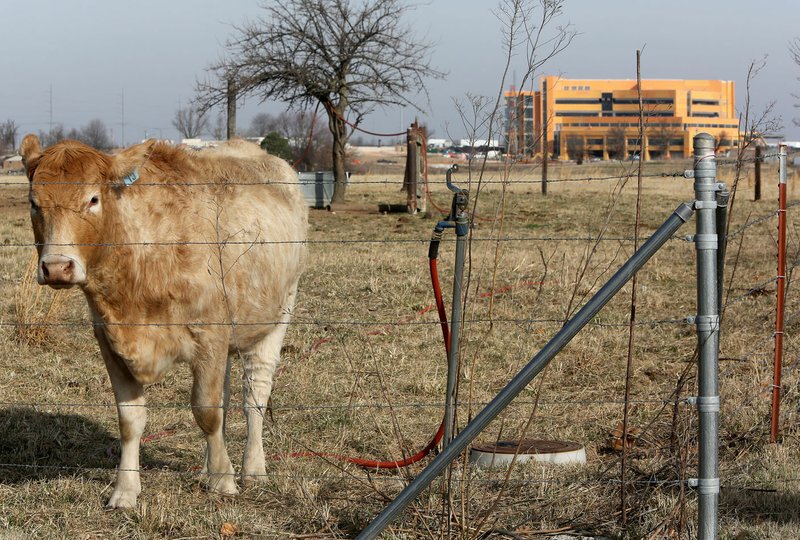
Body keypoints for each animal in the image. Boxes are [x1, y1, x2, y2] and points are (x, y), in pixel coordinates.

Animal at [21, 135, 310, 506]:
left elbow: (207, 411)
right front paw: (126, 490)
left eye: (93, 199)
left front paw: (223, 481)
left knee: (254, 396)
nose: (57, 267)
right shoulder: (109, 340)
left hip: (278, 315)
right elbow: (131, 419)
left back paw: (252, 469)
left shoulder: (209, 337)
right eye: (34, 203)